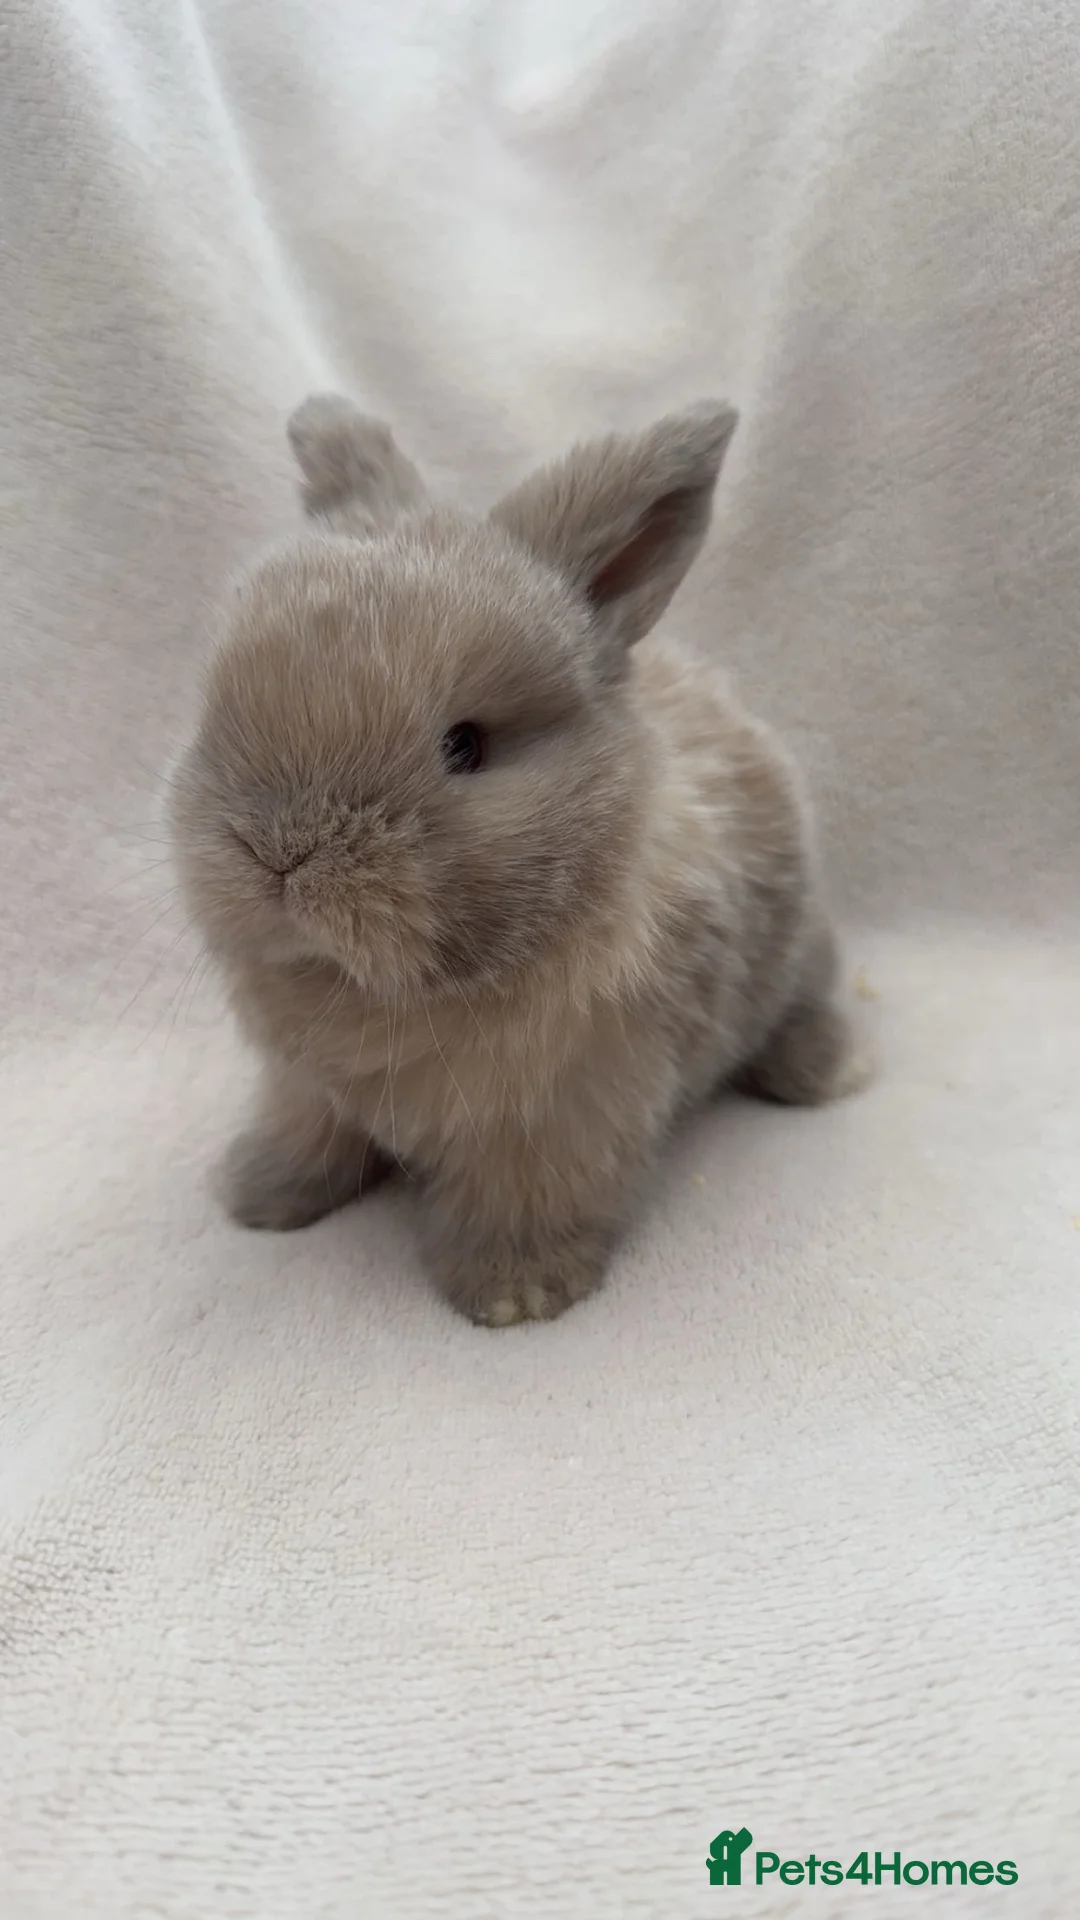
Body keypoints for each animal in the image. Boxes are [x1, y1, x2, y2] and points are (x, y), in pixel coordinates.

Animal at [168, 392, 867, 1327]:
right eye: (223, 703)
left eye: (465, 745)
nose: (277, 854)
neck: (379, 994)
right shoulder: (304, 1087)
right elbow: (307, 1137)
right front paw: (256, 1196)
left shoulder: (561, 1113)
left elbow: (526, 1198)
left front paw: (516, 1293)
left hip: (795, 959)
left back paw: (828, 1071)